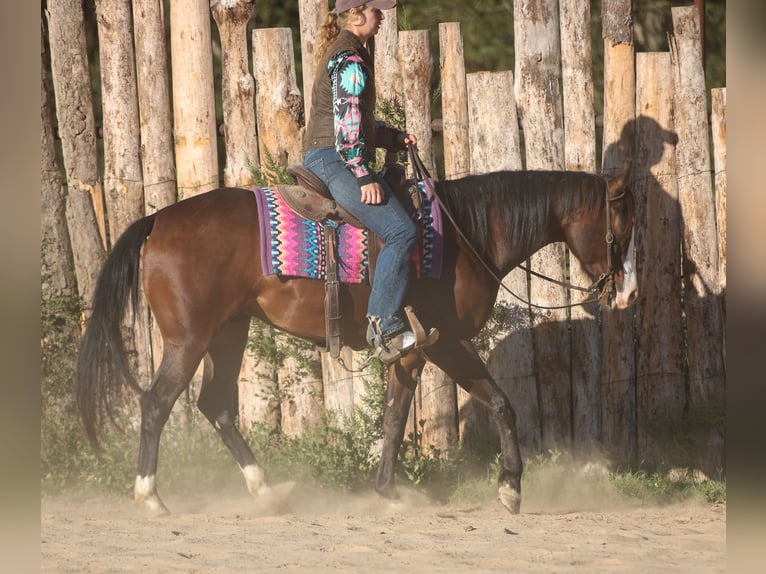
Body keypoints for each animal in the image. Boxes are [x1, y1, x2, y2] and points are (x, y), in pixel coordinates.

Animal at [77, 164, 636, 515]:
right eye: (623, 223)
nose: (628, 293)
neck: (464, 235)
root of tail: (159, 220)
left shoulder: (411, 351)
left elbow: (398, 416)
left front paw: (390, 489)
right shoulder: (443, 343)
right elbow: (498, 403)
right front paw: (510, 488)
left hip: (228, 333)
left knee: (216, 406)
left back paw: (266, 491)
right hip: (189, 340)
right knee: (157, 403)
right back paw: (151, 497)